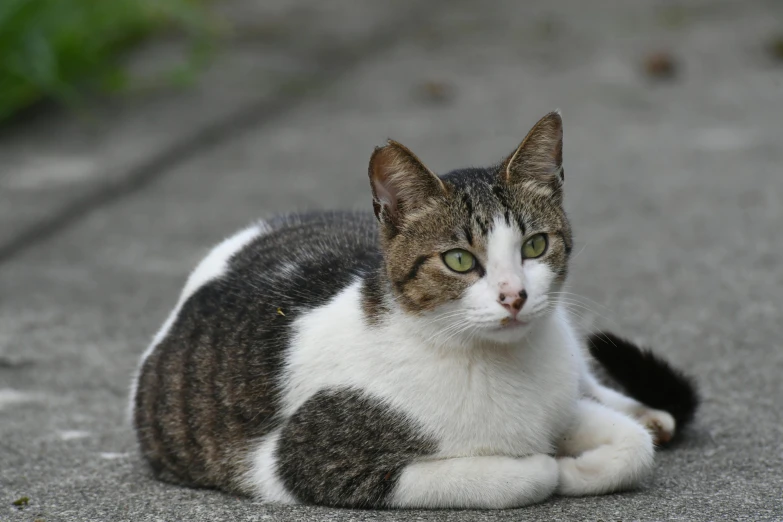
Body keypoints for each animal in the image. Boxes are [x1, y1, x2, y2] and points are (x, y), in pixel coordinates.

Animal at [129, 111, 700, 506]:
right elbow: (521, 474)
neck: (493, 363)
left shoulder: (561, 400)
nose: (514, 295)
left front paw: (596, 452)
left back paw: (647, 412)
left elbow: (630, 448)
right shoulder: (303, 461)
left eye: (535, 246)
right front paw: (556, 465)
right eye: (458, 259)